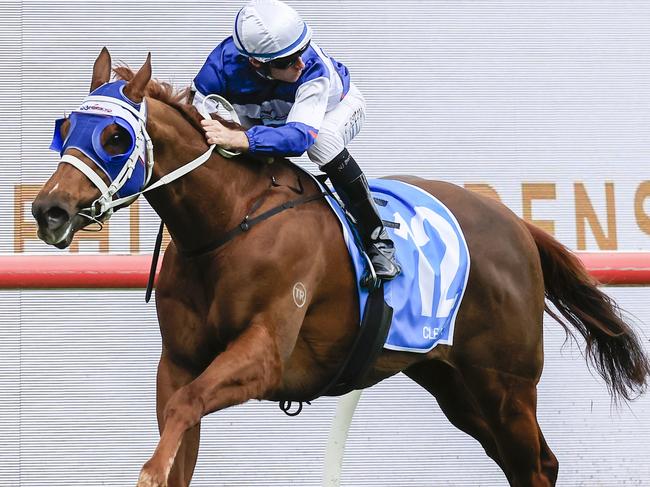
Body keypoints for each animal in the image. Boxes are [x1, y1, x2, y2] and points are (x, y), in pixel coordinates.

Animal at [31, 48, 648, 487]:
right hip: (455, 385)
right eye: (64, 126)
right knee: (526, 463)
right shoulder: (179, 363)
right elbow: (178, 427)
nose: (48, 210)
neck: (228, 224)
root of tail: (517, 226)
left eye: (115, 136)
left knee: (537, 467)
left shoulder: (264, 356)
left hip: (506, 384)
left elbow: (184, 415)